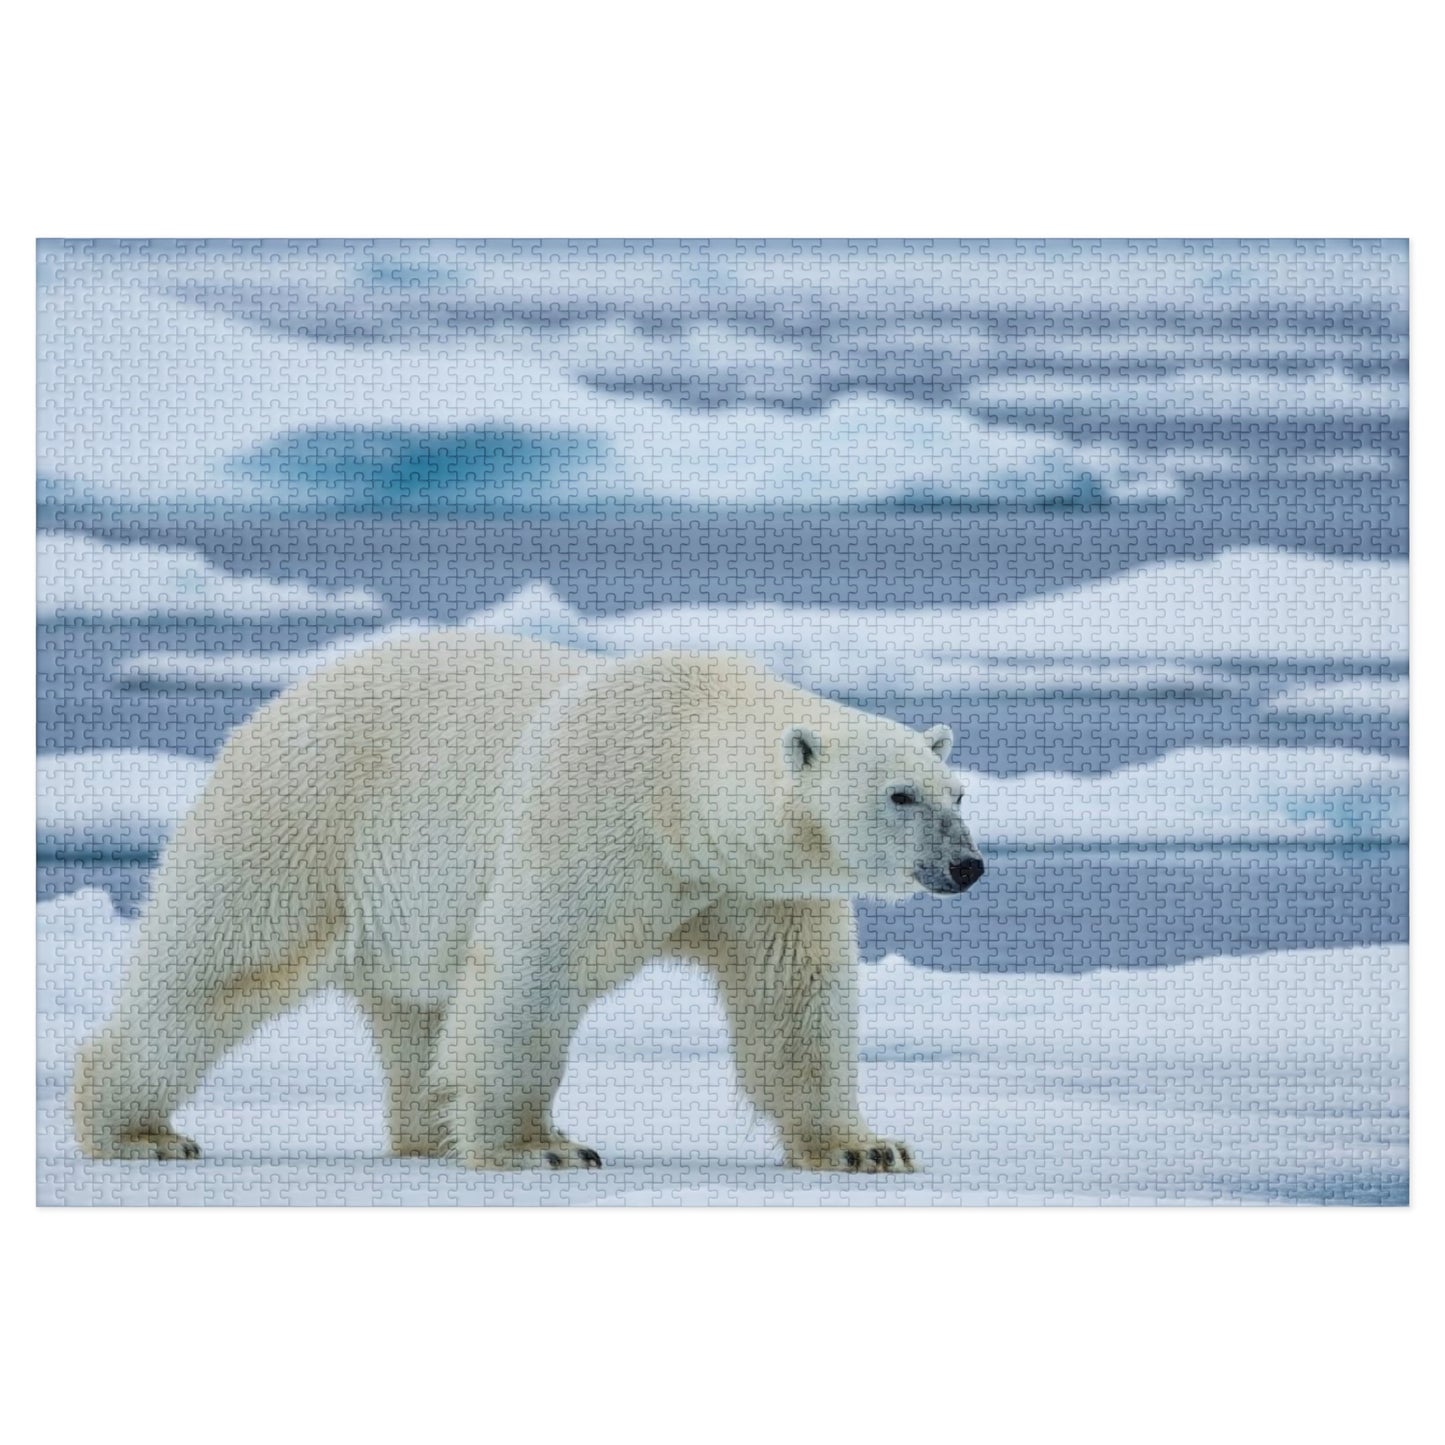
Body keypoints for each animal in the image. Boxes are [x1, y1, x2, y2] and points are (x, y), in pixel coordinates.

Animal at [72, 632, 984, 1172]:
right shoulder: (594, 815)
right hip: (301, 825)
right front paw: (539, 1146)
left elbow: (794, 1001)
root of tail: (271, 706)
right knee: (211, 973)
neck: (682, 773)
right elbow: (531, 973)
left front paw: (866, 1147)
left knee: (419, 1015)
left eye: (957, 791)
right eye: (900, 795)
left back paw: (431, 1133)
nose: (967, 864)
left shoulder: (760, 886)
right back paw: (138, 1130)